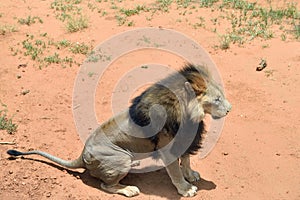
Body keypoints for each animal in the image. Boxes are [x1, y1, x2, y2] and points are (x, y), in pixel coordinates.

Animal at [7, 63, 232, 197]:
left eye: (222, 96)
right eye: (217, 99)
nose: (230, 109)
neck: (190, 115)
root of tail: (82, 154)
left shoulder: (187, 140)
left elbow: (185, 161)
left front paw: (191, 175)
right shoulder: (169, 148)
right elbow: (176, 172)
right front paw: (186, 189)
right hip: (121, 158)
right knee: (105, 186)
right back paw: (129, 189)